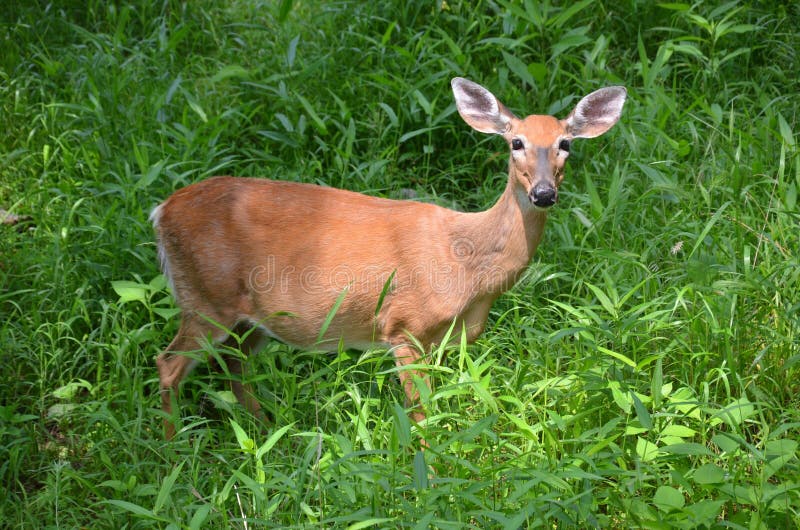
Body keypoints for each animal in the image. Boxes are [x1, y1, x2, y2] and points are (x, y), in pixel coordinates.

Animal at [151, 77, 627, 441]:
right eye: (515, 142)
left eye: (565, 143)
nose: (544, 193)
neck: (467, 265)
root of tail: (161, 211)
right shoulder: (403, 326)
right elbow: (423, 415)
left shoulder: (450, 338)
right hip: (205, 297)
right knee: (169, 364)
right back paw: (174, 451)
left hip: (251, 316)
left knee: (234, 365)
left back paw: (267, 433)